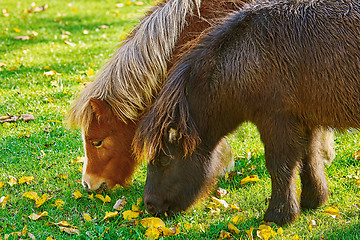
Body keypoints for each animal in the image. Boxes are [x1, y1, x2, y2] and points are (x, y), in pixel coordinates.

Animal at [133, 0, 360, 226]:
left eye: (164, 159)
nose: (149, 206)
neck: (247, 55)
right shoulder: (304, 120)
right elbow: (309, 160)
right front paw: (312, 201)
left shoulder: (277, 121)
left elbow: (280, 166)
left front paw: (278, 215)